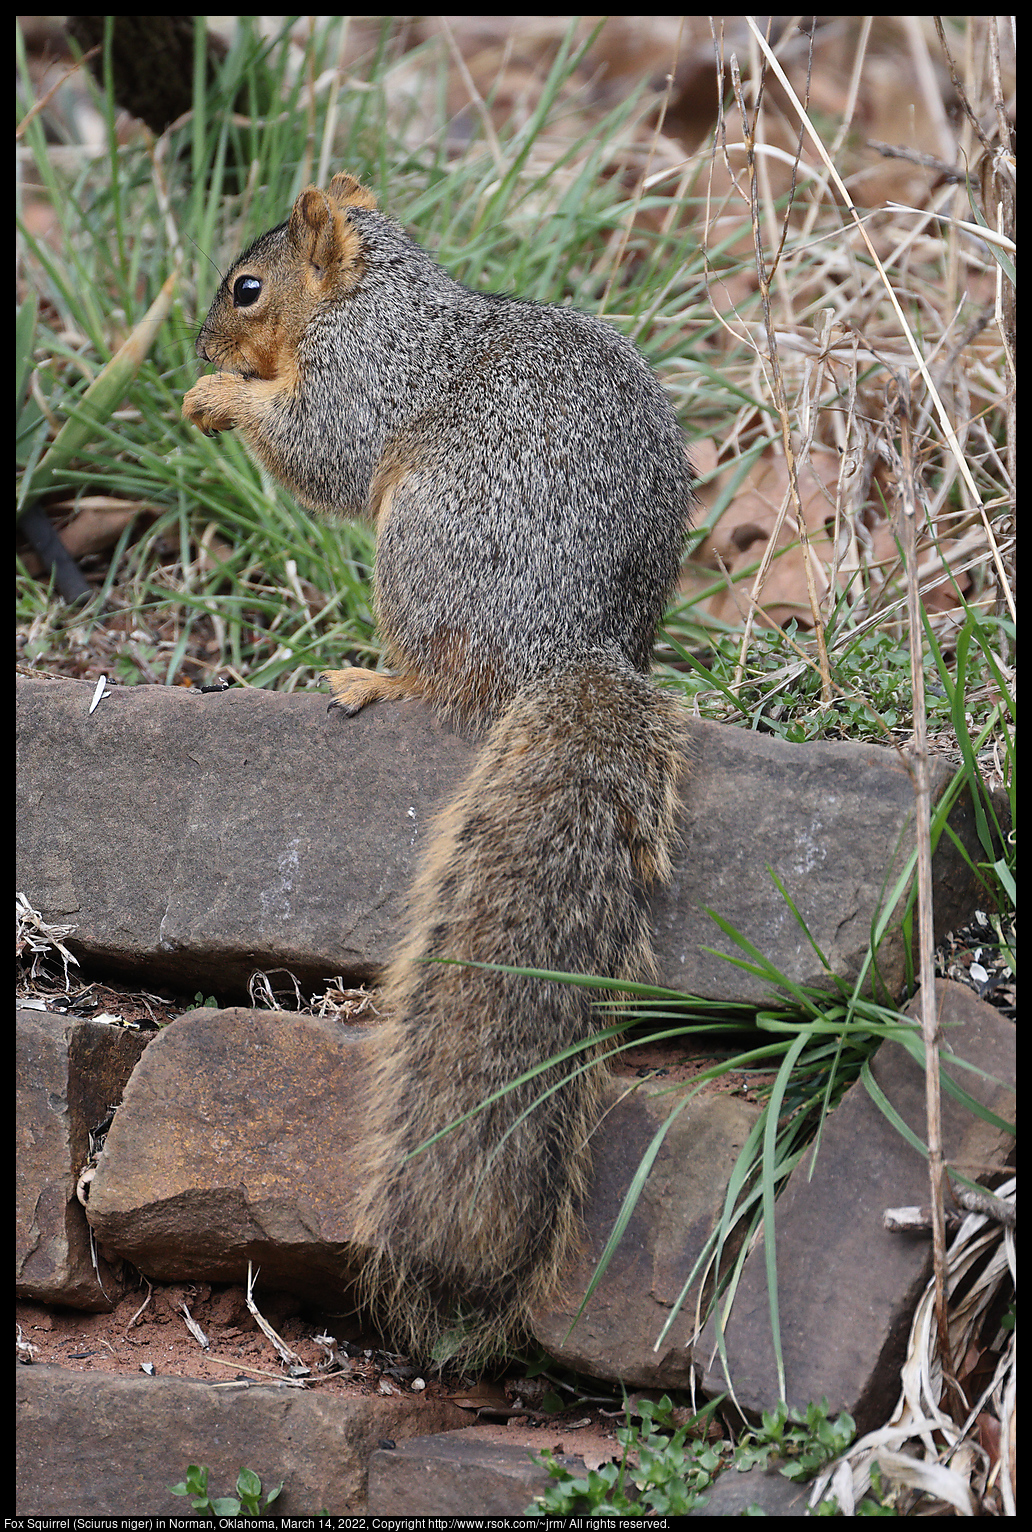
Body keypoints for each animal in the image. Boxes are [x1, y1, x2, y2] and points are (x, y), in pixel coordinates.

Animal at [183, 170, 692, 1366]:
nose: (202, 337)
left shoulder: (361, 384)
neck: (377, 299)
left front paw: (219, 398)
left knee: (441, 677)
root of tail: (571, 648)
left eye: (248, 286)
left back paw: (375, 678)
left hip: (416, 543)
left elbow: (318, 447)